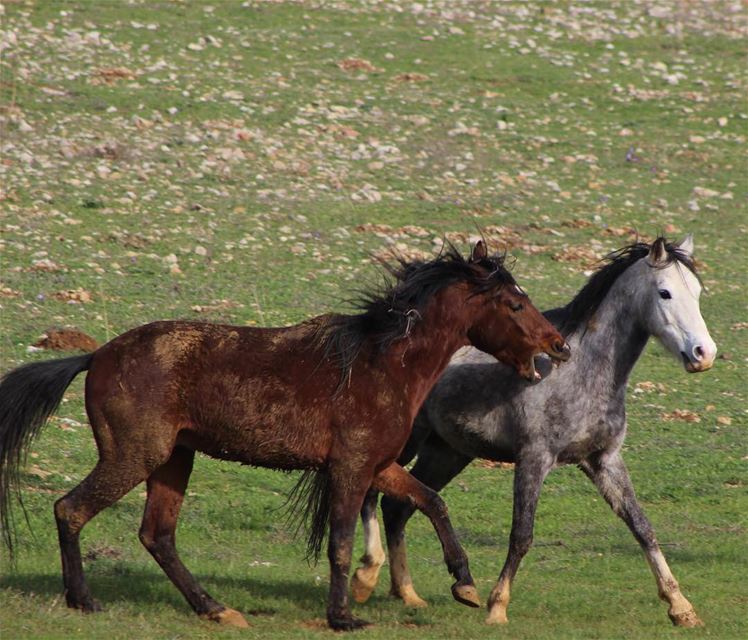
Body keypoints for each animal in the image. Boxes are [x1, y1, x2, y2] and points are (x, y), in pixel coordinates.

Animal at [0, 241, 568, 632]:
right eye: (514, 304)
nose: (559, 346)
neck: (382, 364)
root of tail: (96, 355)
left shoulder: (379, 465)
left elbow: (431, 501)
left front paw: (465, 586)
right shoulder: (351, 468)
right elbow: (341, 542)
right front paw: (344, 616)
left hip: (174, 460)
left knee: (156, 535)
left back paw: (217, 610)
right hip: (135, 456)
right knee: (71, 509)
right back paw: (85, 600)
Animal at [354, 234, 716, 624]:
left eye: (697, 292)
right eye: (665, 292)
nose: (704, 354)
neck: (581, 372)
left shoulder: (603, 459)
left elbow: (641, 526)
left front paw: (681, 607)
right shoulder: (534, 457)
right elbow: (521, 534)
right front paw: (497, 607)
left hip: (447, 452)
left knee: (398, 506)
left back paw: (406, 592)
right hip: (406, 442)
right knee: (372, 492)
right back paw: (365, 576)